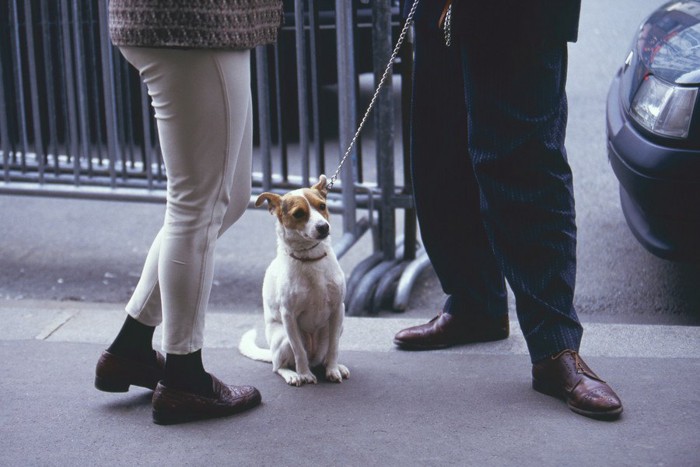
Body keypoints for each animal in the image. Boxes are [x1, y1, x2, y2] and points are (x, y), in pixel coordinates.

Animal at [238, 176, 350, 388]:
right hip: (283, 339)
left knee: (325, 354)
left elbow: (334, 348)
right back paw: (293, 374)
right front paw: (304, 374)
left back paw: (333, 366)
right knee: (279, 365)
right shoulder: (289, 316)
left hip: (334, 329)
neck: (311, 259)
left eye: (322, 206)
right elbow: (299, 352)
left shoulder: (338, 309)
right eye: (298, 213)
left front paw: (333, 369)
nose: (323, 227)